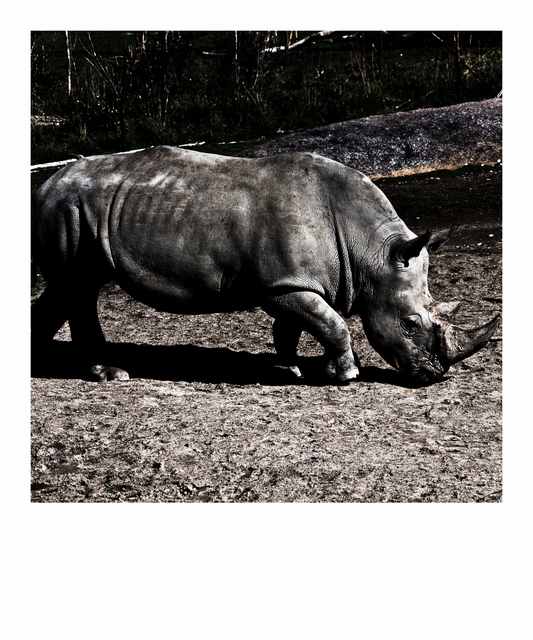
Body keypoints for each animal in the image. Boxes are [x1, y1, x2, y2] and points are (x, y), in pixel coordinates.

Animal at [31, 146, 500, 384]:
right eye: (410, 323)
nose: (435, 375)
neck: (370, 251)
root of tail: (46, 182)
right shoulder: (285, 284)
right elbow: (332, 322)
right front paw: (346, 374)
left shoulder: (292, 283)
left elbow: (293, 327)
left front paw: (291, 368)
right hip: (68, 208)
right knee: (78, 289)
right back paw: (112, 374)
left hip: (80, 209)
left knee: (70, 287)